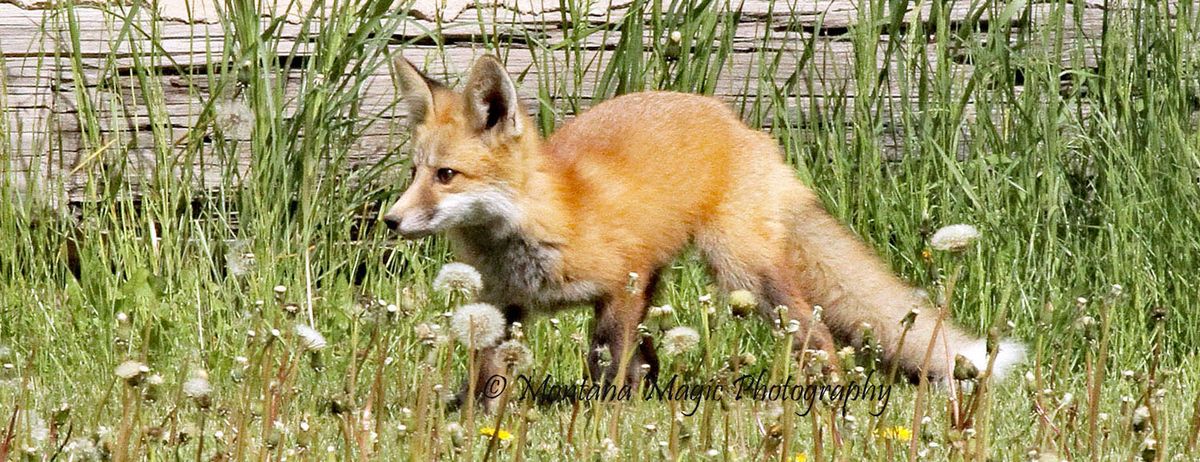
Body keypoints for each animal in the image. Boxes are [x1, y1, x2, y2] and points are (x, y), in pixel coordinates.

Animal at [381, 52, 1022, 400]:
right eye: (414, 172)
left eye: (446, 175)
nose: (391, 221)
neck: (542, 223)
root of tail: (743, 126)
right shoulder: (502, 304)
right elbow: (489, 377)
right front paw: (477, 424)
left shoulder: (623, 282)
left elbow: (606, 361)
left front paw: (602, 421)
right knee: (653, 353)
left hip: (742, 271)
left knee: (815, 331)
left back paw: (825, 397)